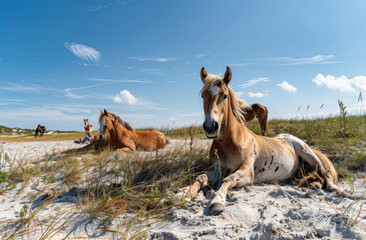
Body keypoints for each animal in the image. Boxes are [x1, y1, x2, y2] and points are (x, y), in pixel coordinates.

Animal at [189, 67, 348, 216]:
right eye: (203, 96)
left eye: (224, 95)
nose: (211, 127)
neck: (230, 142)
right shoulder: (218, 169)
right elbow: (201, 177)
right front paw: (186, 193)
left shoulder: (247, 171)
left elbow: (228, 179)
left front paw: (217, 202)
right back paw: (315, 184)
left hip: (309, 155)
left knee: (325, 173)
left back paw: (339, 191)